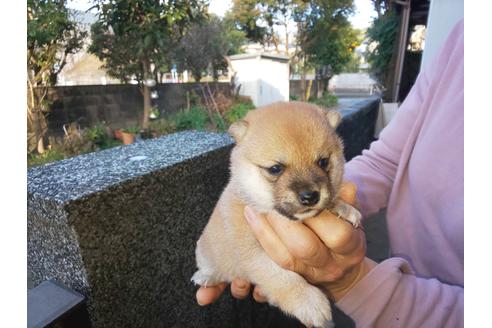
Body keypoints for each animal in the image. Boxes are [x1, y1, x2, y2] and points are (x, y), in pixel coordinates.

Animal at [192, 101, 362, 326]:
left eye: (323, 162)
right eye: (275, 169)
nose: (310, 196)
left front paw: (344, 208)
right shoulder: (254, 254)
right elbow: (282, 278)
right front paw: (309, 302)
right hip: (205, 252)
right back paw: (205, 277)